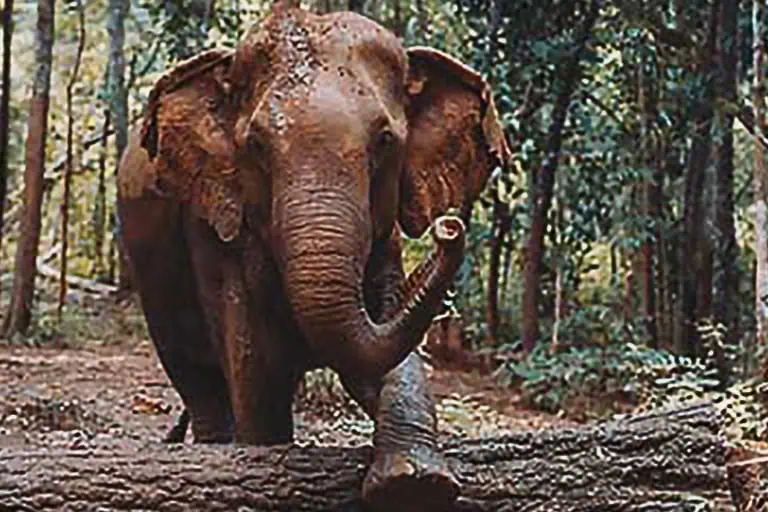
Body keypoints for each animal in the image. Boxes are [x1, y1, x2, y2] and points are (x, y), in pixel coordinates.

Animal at [116, 1, 510, 509]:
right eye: (256, 145)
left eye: (385, 141)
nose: (450, 226)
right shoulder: (211, 223)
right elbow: (255, 364)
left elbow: (381, 338)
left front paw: (414, 484)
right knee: (197, 378)